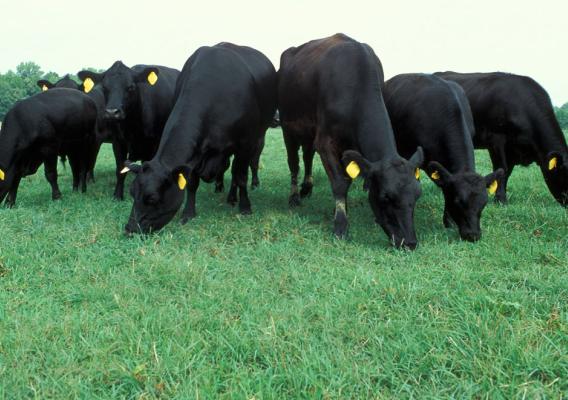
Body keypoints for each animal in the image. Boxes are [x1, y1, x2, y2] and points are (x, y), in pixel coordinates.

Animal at [77, 61, 179, 199]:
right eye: (104, 88)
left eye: (130, 87)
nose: (112, 112)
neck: (133, 128)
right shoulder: (118, 142)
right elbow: (120, 169)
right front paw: (117, 195)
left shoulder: (154, 144)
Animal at [122, 42, 278, 233]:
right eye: (131, 192)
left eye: (152, 198)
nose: (130, 228)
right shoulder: (195, 154)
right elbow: (191, 183)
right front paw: (188, 213)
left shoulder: (245, 143)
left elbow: (241, 175)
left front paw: (245, 207)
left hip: (258, 137)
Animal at [278, 32, 424, 248]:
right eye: (385, 197)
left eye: (417, 194)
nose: (410, 242)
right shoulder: (325, 142)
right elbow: (340, 182)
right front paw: (340, 226)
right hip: (288, 128)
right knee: (294, 162)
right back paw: (294, 196)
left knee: (307, 156)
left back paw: (307, 187)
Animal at [434, 70, 568, 206]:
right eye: (564, 172)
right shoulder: (496, 140)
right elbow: (502, 169)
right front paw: (501, 199)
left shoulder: (512, 150)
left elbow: (507, 172)